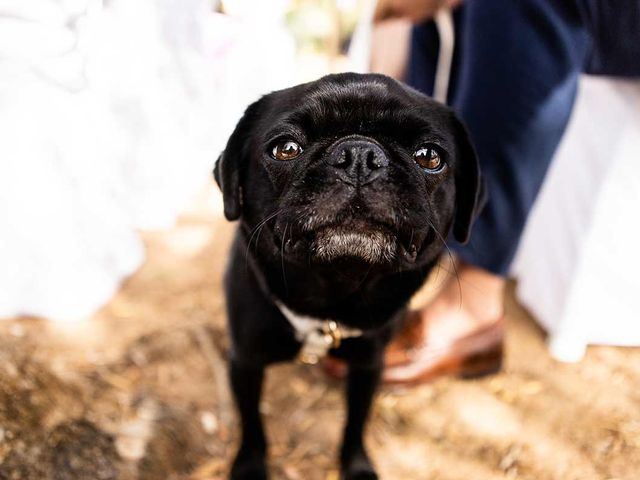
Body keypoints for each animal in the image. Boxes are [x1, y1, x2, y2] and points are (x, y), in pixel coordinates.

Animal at [214, 72, 480, 480]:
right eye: (285, 148)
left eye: (430, 157)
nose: (359, 156)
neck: (333, 293)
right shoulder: (245, 362)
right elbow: (251, 423)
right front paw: (249, 466)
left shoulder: (369, 366)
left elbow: (356, 422)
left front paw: (356, 466)